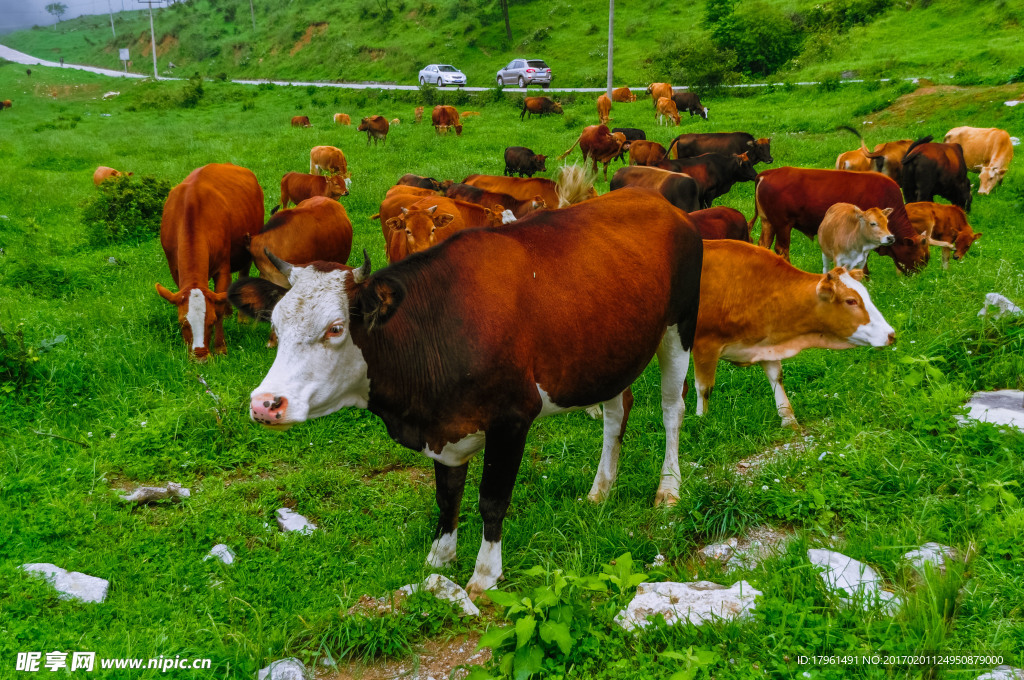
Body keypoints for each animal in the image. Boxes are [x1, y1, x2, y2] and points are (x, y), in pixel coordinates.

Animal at [156, 163, 264, 360]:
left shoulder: (222, 266)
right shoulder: (175, 270)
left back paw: (241, 318)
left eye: (211, 322)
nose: (200, 357)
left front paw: (220, 347)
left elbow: (218, 306)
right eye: (183, 323)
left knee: (243, 274)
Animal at [227, 184, 704, 593]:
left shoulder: (512, 418)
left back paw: (668, 489)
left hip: (679, 328)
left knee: (671, 410)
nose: (266, 404)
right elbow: (447, 495)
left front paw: (485, 574)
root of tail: (660, 202)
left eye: (336, 328)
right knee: (616, 410)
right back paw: (600, 489)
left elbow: (492, 498)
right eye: (275, 327)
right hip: (610, 349)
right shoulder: (445, 425)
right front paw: (440, 557)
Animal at [688, 241, 897, 428]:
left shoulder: (766, 345)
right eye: (851, 301)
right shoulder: (705, 345)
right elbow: (704, 388)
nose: (891, 334)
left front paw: (788, 418)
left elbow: (776, 378)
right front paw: (701, 422)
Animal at [753, 166, 929, 274]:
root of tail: (767, 173)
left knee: (764, 245)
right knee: (782, 249)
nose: (918, 277)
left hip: (768, 223)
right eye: (921, 258)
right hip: (783, 225)